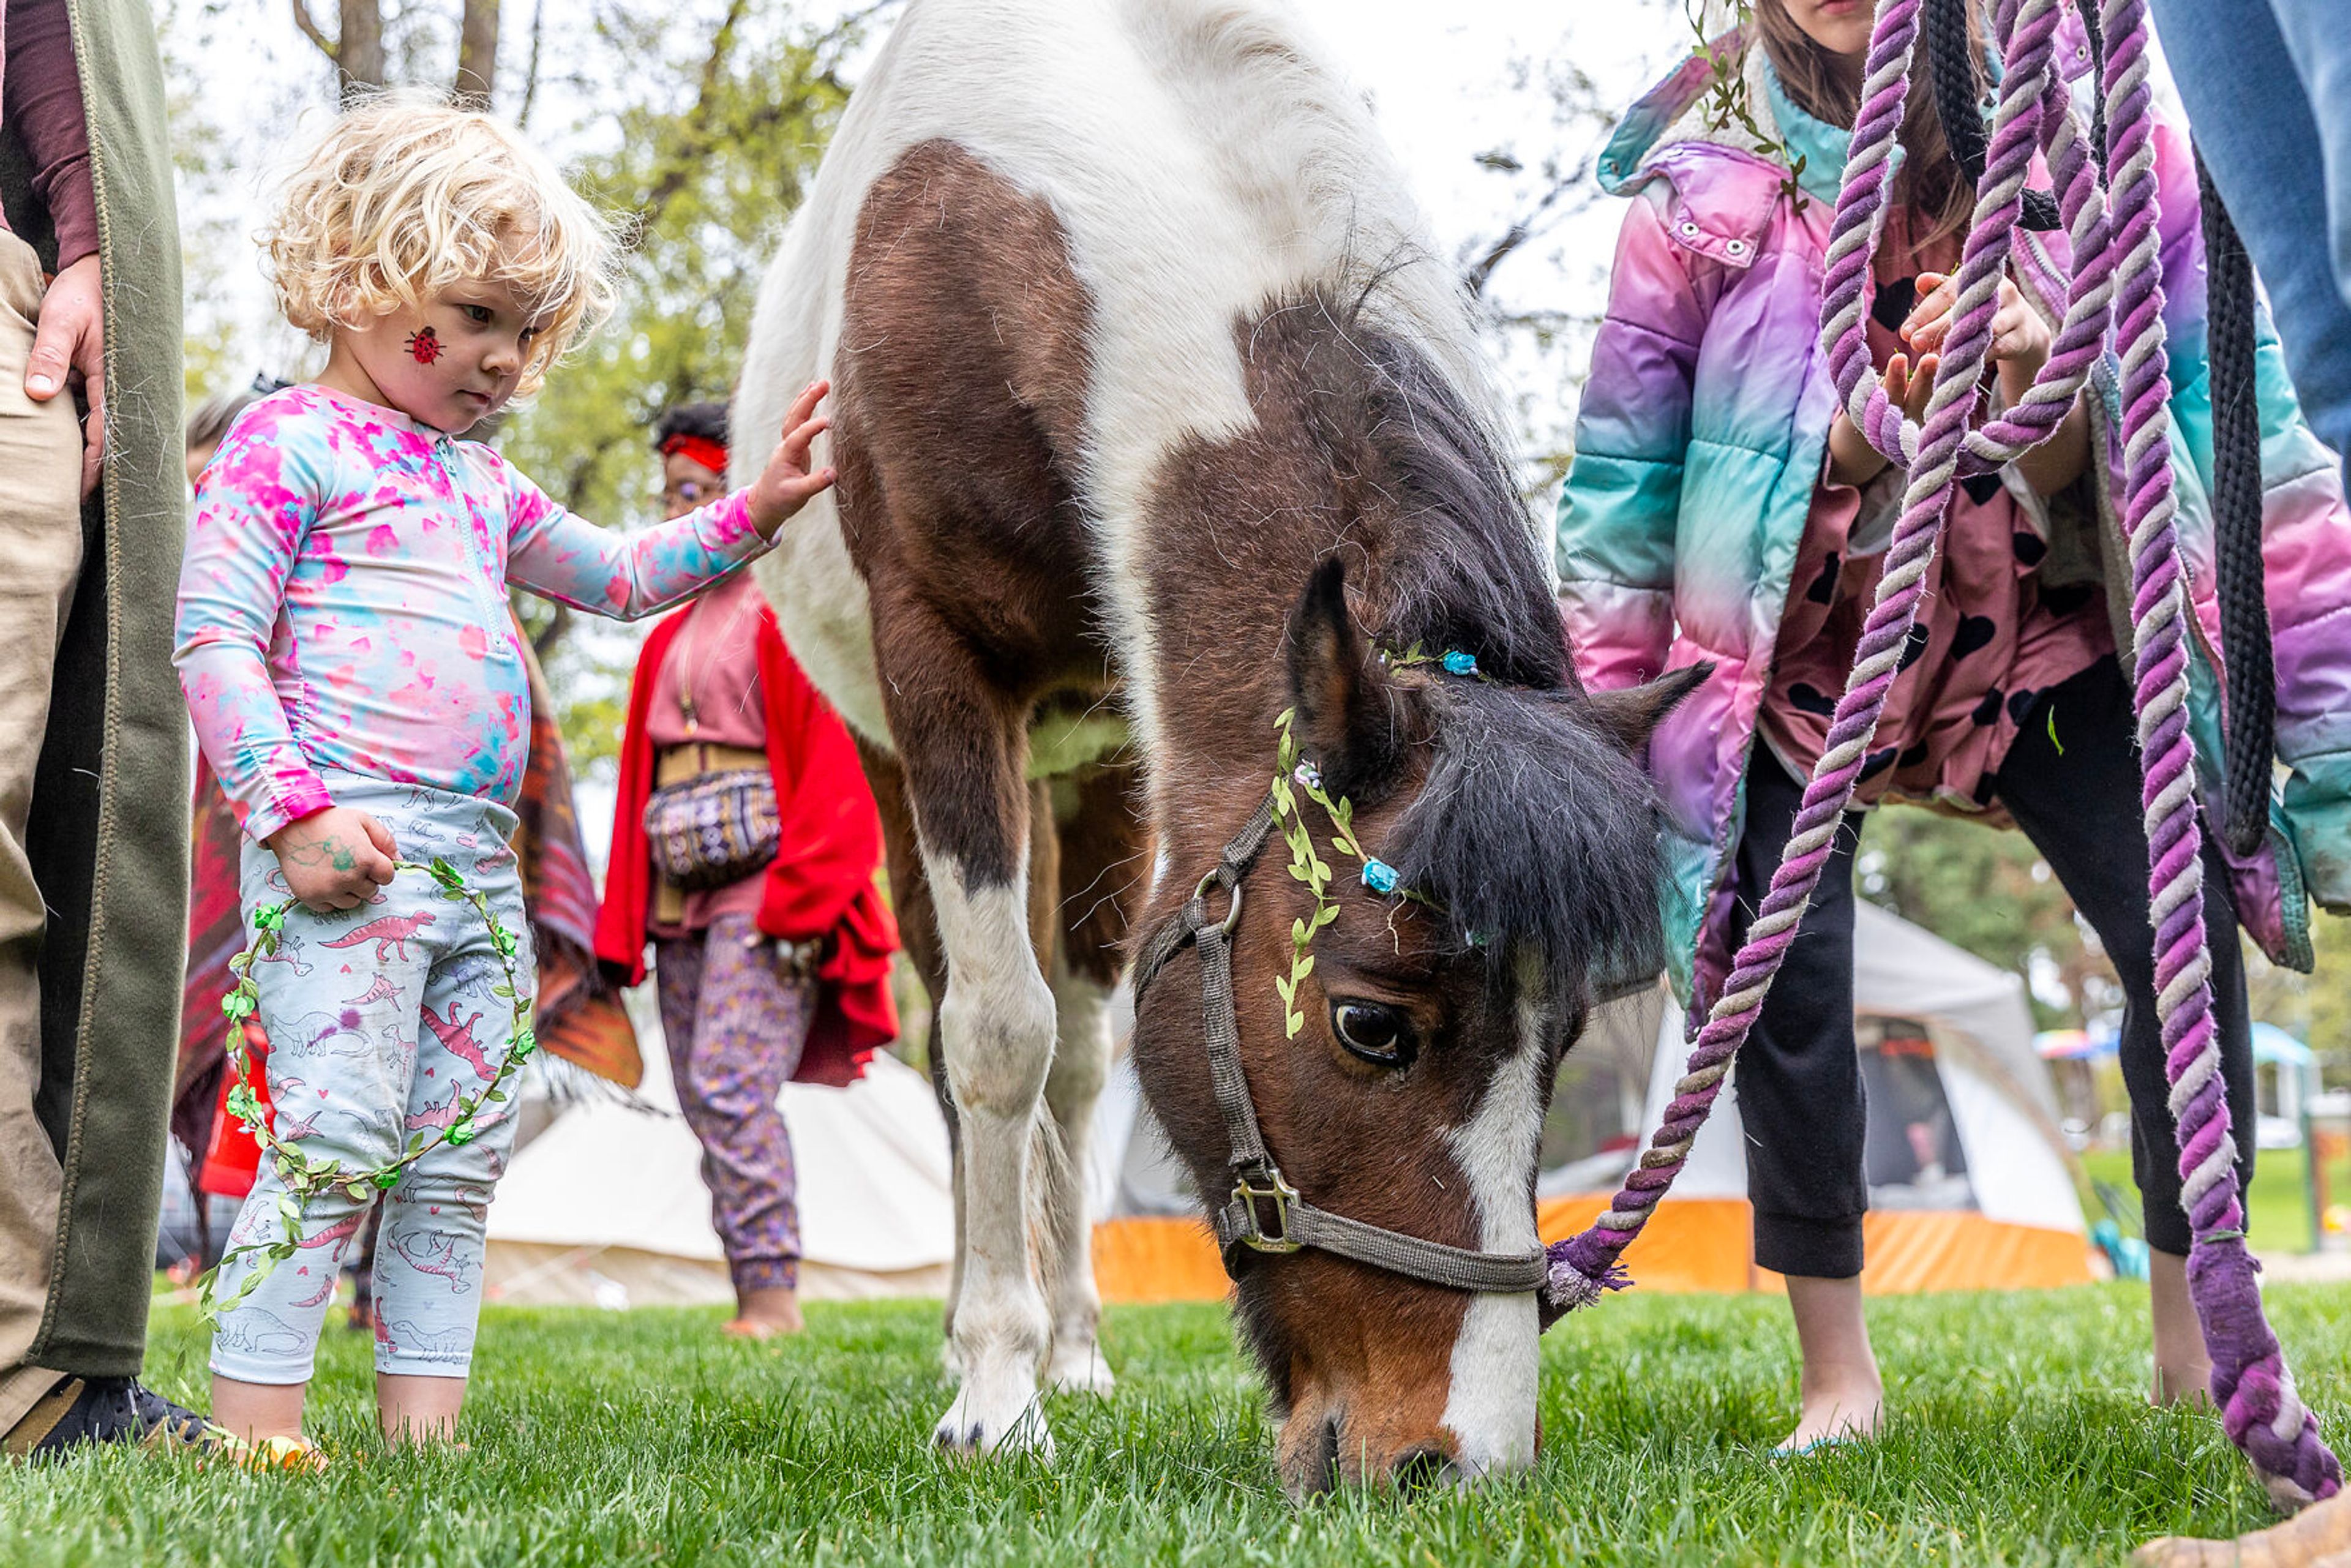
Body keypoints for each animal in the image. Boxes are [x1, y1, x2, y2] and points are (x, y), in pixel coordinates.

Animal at [733, 0, 1692, 1495]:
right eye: (1372, 1023)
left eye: (1567, 1037)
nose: (1463, 1458)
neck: (1003, 213)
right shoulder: (940, 663)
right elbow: (989, 1040)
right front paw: (995, 1393)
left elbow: (1065, 1056)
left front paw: (1043, 1362)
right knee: (977, 1037)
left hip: (1101, 772)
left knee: (1078, 1060)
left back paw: (1073, 1344)